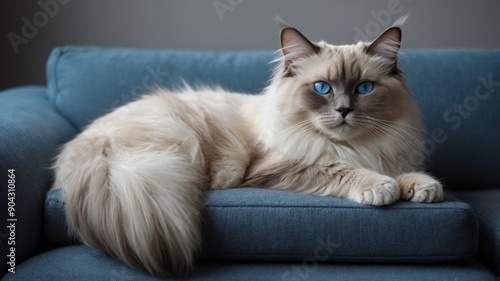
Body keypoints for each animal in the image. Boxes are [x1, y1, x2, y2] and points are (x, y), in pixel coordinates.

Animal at [51, 18, 442, 276]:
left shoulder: (384, 152)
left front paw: (424, 188)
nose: (344, 110)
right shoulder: (283, 167)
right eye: (322, 88)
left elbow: (402, 173)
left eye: (364, 88)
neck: (356, 147)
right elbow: (342, 170)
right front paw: (381, 188)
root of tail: (91, 141)